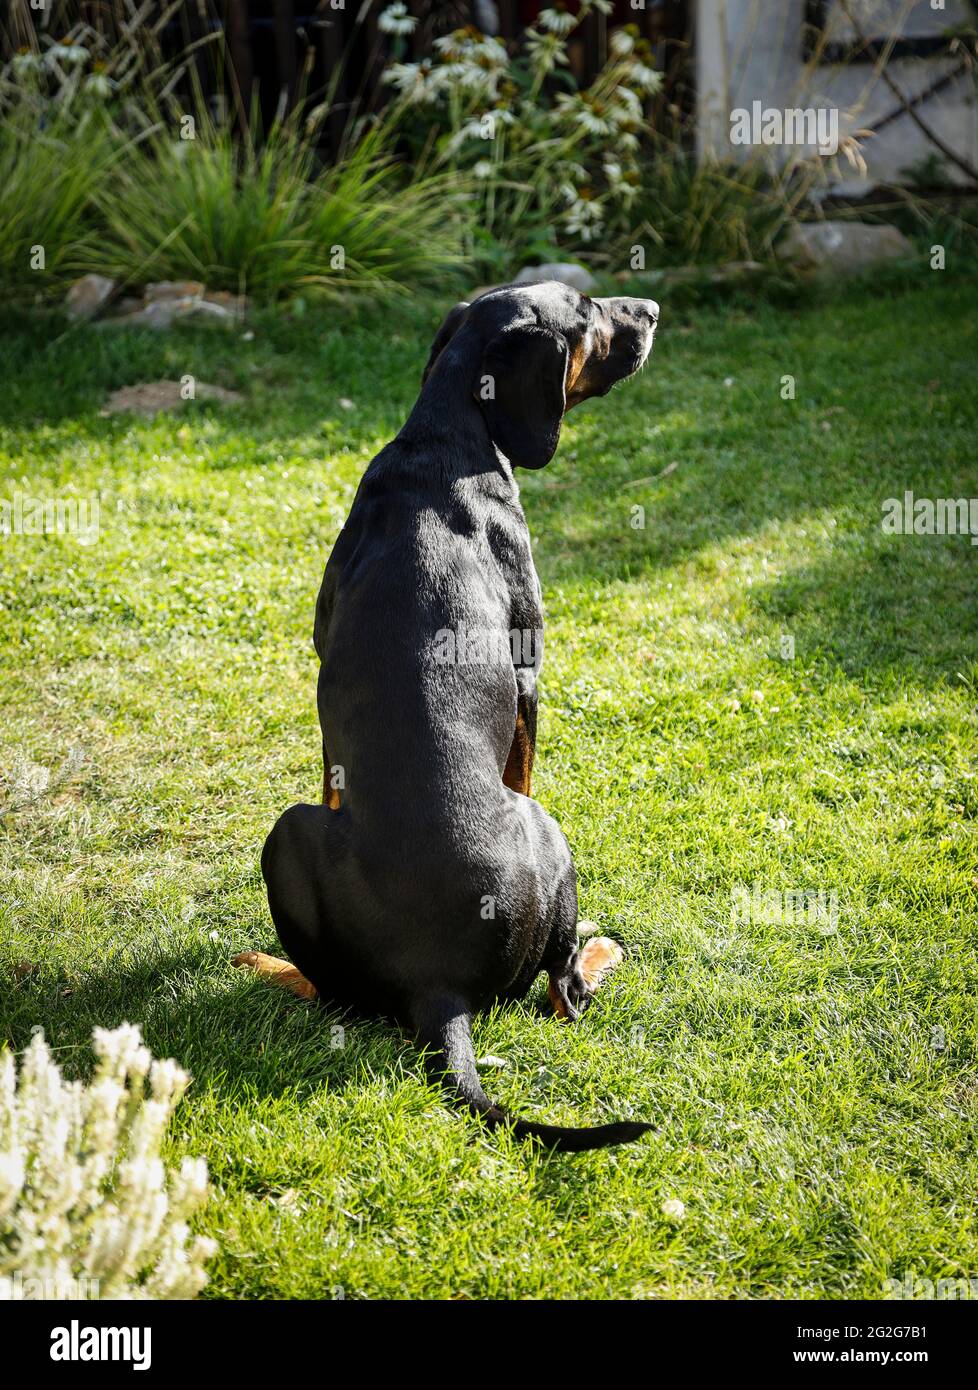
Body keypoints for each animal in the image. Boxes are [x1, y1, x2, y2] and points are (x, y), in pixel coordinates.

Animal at [238, 282, 655, 1150]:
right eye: (589, 312)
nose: (654, 310)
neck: (445, 443)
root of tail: (438, 992)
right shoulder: (529, 676)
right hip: (546, 829)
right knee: (564, 994)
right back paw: (598, 951)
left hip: (293, 833)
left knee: (336, 991)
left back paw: (272, 967)